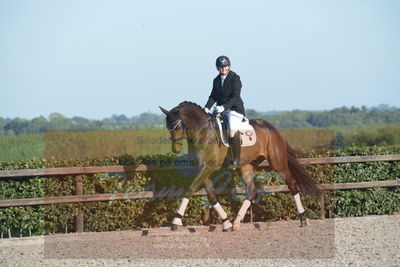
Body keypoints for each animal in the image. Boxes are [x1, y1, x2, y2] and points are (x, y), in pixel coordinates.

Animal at [159, 101, 322, 231]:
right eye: (168, 127)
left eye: (177, 126)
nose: (176, 150)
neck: (203, 133)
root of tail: (272, 128)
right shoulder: (202, 169)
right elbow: (211, 195)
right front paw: (226, 223)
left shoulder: (208, 168)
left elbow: (191, 189)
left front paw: (176, 221)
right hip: (246, 166)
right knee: (251, 191)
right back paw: (236, 222)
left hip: (278, 163)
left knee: (292, 184)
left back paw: (303, 219)